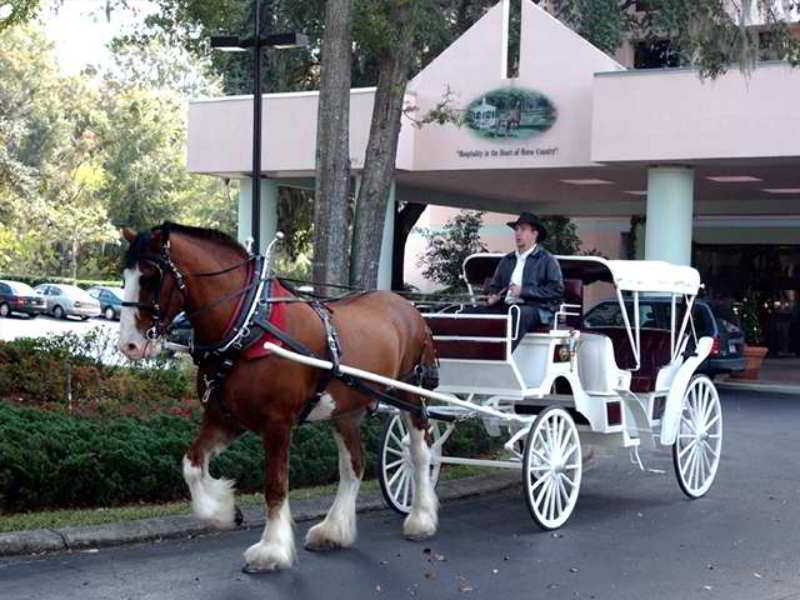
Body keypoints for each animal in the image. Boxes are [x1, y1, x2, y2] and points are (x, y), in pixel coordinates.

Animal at [117, 223, 438, 568]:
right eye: (125, 276)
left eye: (151, 277)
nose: (129, 345)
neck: (248, 327)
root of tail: (408, 307)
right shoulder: (224, 419)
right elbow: (191, 464)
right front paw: (224, 511)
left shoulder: (278, 424)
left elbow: (275, 487)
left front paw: (271, 549)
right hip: (345, 410)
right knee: (353, 464)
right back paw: (333, 530)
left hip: (410, 395)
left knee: (419, 451)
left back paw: (421, 518)